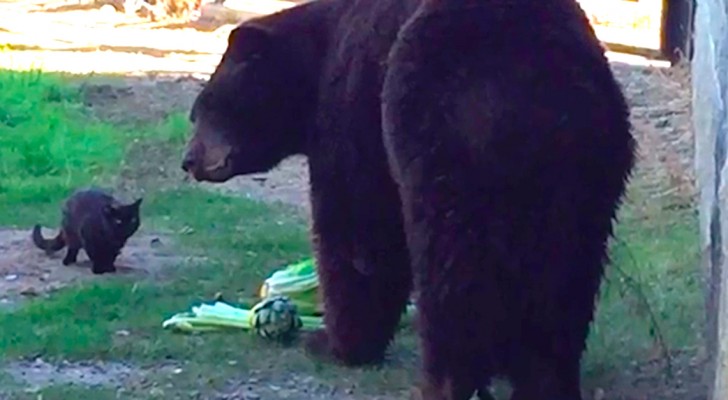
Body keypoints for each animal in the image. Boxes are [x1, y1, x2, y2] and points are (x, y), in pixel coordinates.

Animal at [179, 0, 636, 398]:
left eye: (205, 106)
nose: (189, 160)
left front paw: (333, 341)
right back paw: (546, 378)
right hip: (586, 171)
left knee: (448, 274)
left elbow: (355, 228)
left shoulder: (352, 110)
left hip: (441, 143)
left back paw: (446, 380)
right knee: (566, 277)